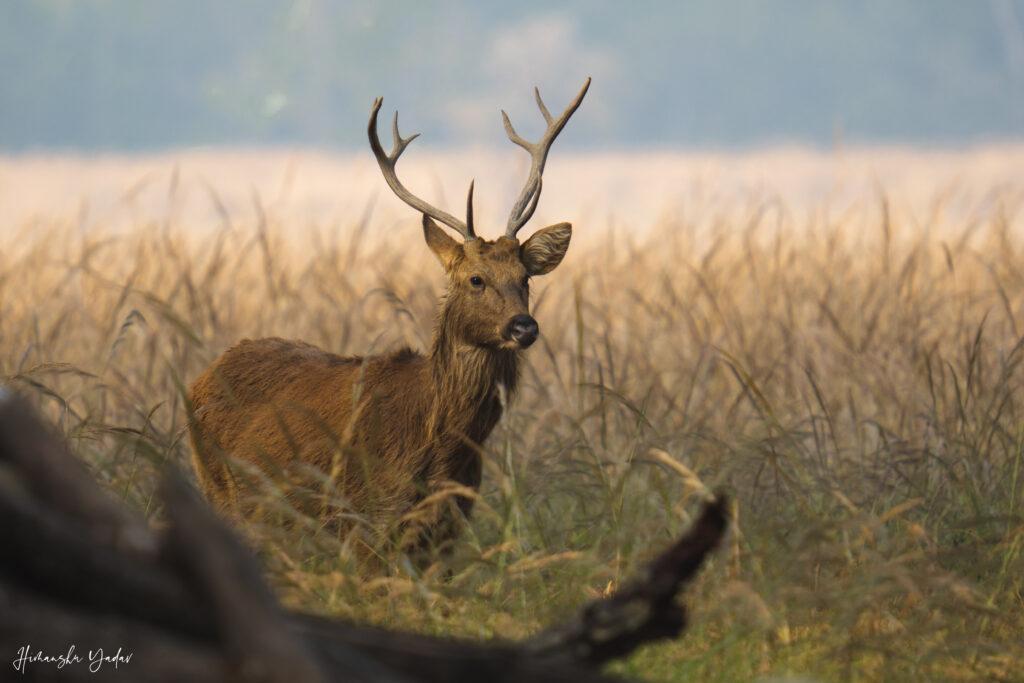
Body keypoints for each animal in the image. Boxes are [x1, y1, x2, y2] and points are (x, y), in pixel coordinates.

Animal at [188, 78, 590, 559]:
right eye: (475, 279)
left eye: (525, 278)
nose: (523, 326)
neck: (436, 447)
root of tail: (200, 377)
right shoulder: (366, 516)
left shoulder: (449, 525)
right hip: (218, 489)